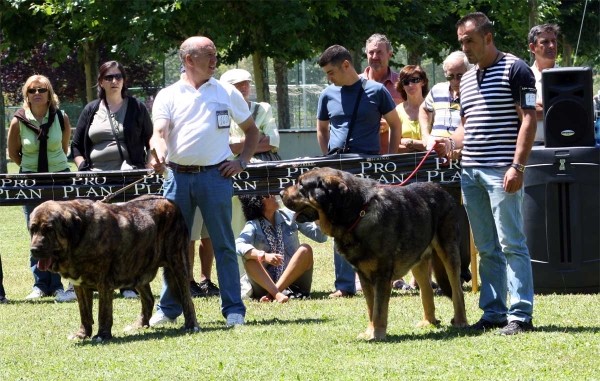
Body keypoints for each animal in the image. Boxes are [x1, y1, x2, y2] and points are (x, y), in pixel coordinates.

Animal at [29, 194, 198, 340]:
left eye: (49, 229)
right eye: (32, 229)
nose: (34, 249)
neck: (80, 236)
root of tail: (169, 201)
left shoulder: (104, 283)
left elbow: (103, 312)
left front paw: (102, 335)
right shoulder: (80, 286)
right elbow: (85, 313)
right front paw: (82, 334)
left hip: (177, 262)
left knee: (186, 298)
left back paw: (191, 325)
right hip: (136, 268)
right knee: (148, 299)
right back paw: (139, 325)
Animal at [282, 166, 468, 338]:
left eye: (301, 185)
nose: (281, 193)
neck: (357, 214)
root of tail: (444, 191)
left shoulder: (381, 275)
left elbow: (378, 309)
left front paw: (377, 334)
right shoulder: (364, 275)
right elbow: (371, 307)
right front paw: (370, 332)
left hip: (448, 253)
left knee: (457, 290)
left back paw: (460, 321)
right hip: (419, 262)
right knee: (427, 290)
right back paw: (428, 322)